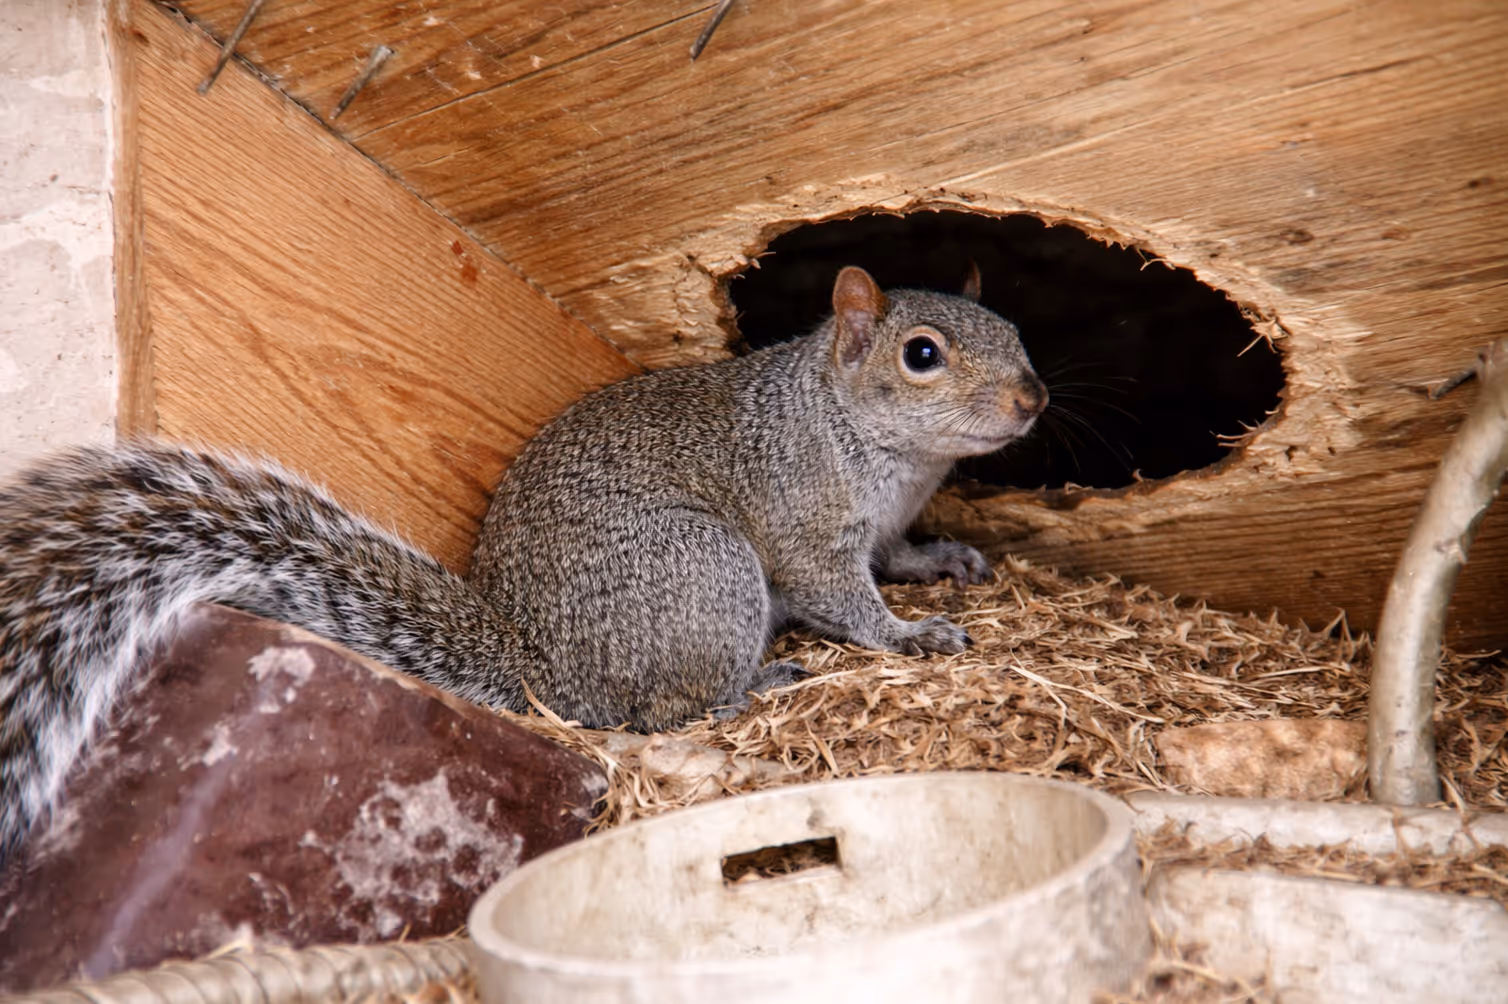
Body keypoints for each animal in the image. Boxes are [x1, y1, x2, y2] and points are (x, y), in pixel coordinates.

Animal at [0, 265, 1046, 862]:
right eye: (922, 355)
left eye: (1022, 333)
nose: (1033, 399)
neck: (879, 447)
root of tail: (545, 667)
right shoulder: (802, 519)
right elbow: (844, 598)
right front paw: (911, 636)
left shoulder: (884, 526)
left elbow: (898, 554)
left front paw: (944, 560)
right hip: (702, 571)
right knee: (657, 709)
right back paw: (751, 684)